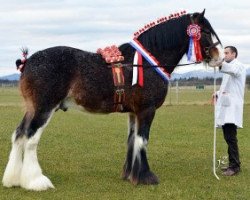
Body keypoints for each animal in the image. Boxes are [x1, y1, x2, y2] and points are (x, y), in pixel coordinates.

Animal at [1, 9, 221, 191]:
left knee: (18, 135)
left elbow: (132, 140)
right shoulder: (147, 110)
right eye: (205, 31)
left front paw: (130, 174)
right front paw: (146, 177)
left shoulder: (133, 112)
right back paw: (36, 182)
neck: (146, 63)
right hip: (44, 108)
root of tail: (27, 61)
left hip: (32, 109)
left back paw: (13, 180)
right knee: (30, 138)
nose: (218, 57)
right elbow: (142, 141)